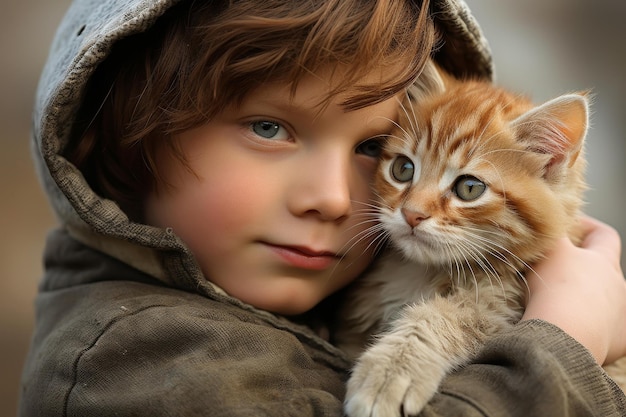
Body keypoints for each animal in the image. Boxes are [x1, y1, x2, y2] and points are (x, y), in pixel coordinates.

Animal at [336, 61, 624, 416]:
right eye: (403, 168)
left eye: (469, 188)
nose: (412, 214)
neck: (421, 271)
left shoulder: (502, 303)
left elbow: (447, 316)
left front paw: (391, 370)